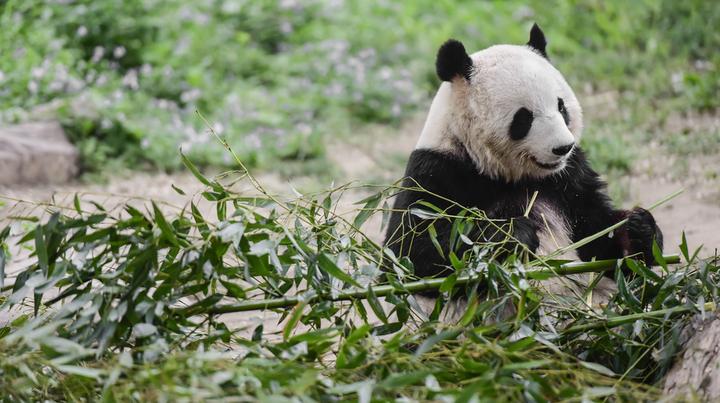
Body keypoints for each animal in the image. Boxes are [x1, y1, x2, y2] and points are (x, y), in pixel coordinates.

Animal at [382, 24, 664, 318]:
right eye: (524, 117)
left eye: (561, 106)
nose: (563, 147)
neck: (509, 175)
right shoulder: (438, 170)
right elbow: (410, 254)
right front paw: (513, 234)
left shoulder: (570, 176)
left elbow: (598, 239)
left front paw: (639, 227)